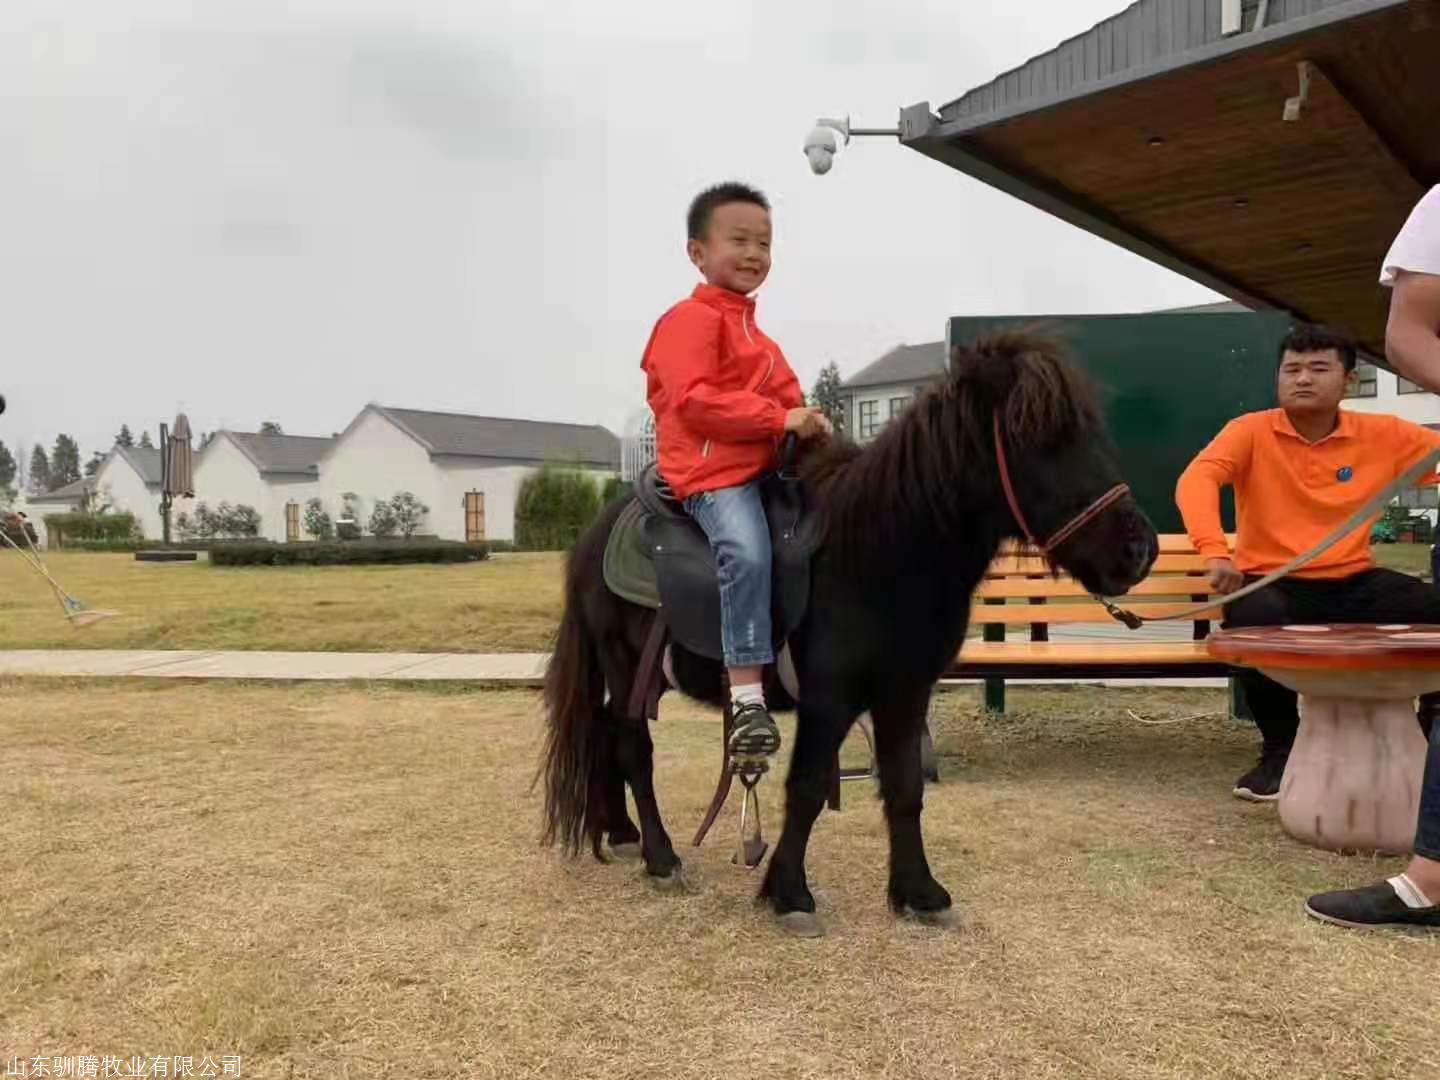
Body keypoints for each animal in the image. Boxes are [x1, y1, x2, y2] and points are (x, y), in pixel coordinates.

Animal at [541, 332, 1157, 938]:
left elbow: (905, 788)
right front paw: (789, 893)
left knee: (605, 736)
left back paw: (621, 833)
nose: (1139, 549)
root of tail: (595, 534)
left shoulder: (904, 694)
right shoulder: (829, 699)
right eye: (1039, 435)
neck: (876, 551)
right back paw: (661, 856)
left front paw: (919, 893)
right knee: (632, 748)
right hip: (624, 666)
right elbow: (809, 787)